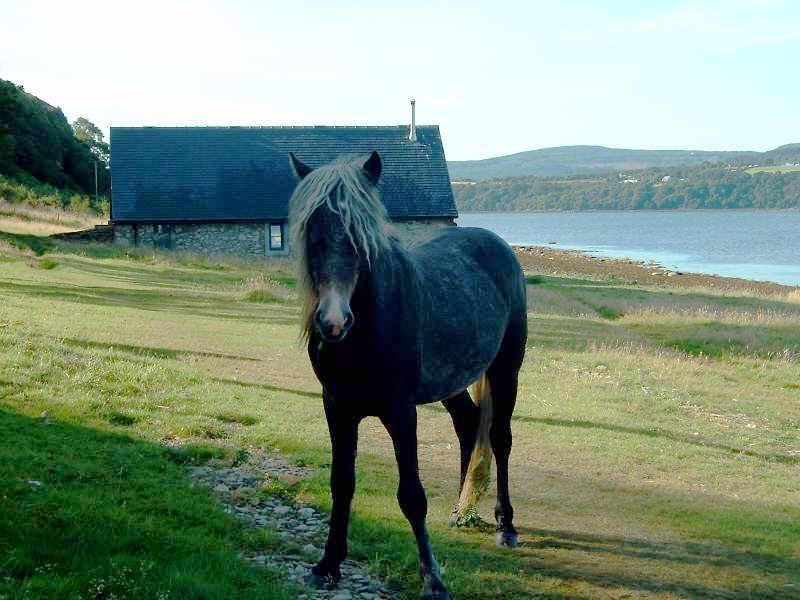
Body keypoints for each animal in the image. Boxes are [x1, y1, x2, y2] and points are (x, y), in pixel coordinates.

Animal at [286, 151, 524, 600]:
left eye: (360, 235)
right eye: (312, 231)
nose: (333, 322)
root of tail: (497, 244)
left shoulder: (401, 412)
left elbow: (412, 496)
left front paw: (433, 579)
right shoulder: (337, 408)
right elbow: (341, 482)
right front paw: (328, 564)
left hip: (507, 370)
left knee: (500, 439)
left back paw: (506, 526)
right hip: (452, 384)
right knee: (468, 426)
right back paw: (459, 509)